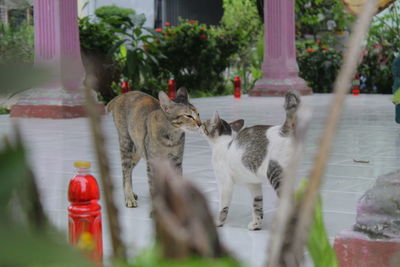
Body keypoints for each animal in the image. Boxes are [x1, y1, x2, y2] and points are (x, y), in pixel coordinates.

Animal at [203, 91, 300, 230]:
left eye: (204, 124)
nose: (199, 124)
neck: (224, 142)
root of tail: (283, 130)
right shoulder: (254, 184)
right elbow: (257, 205)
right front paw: (256, 224)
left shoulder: (225, 184)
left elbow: (223, 207)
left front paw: (218, 222)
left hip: (275, 173)